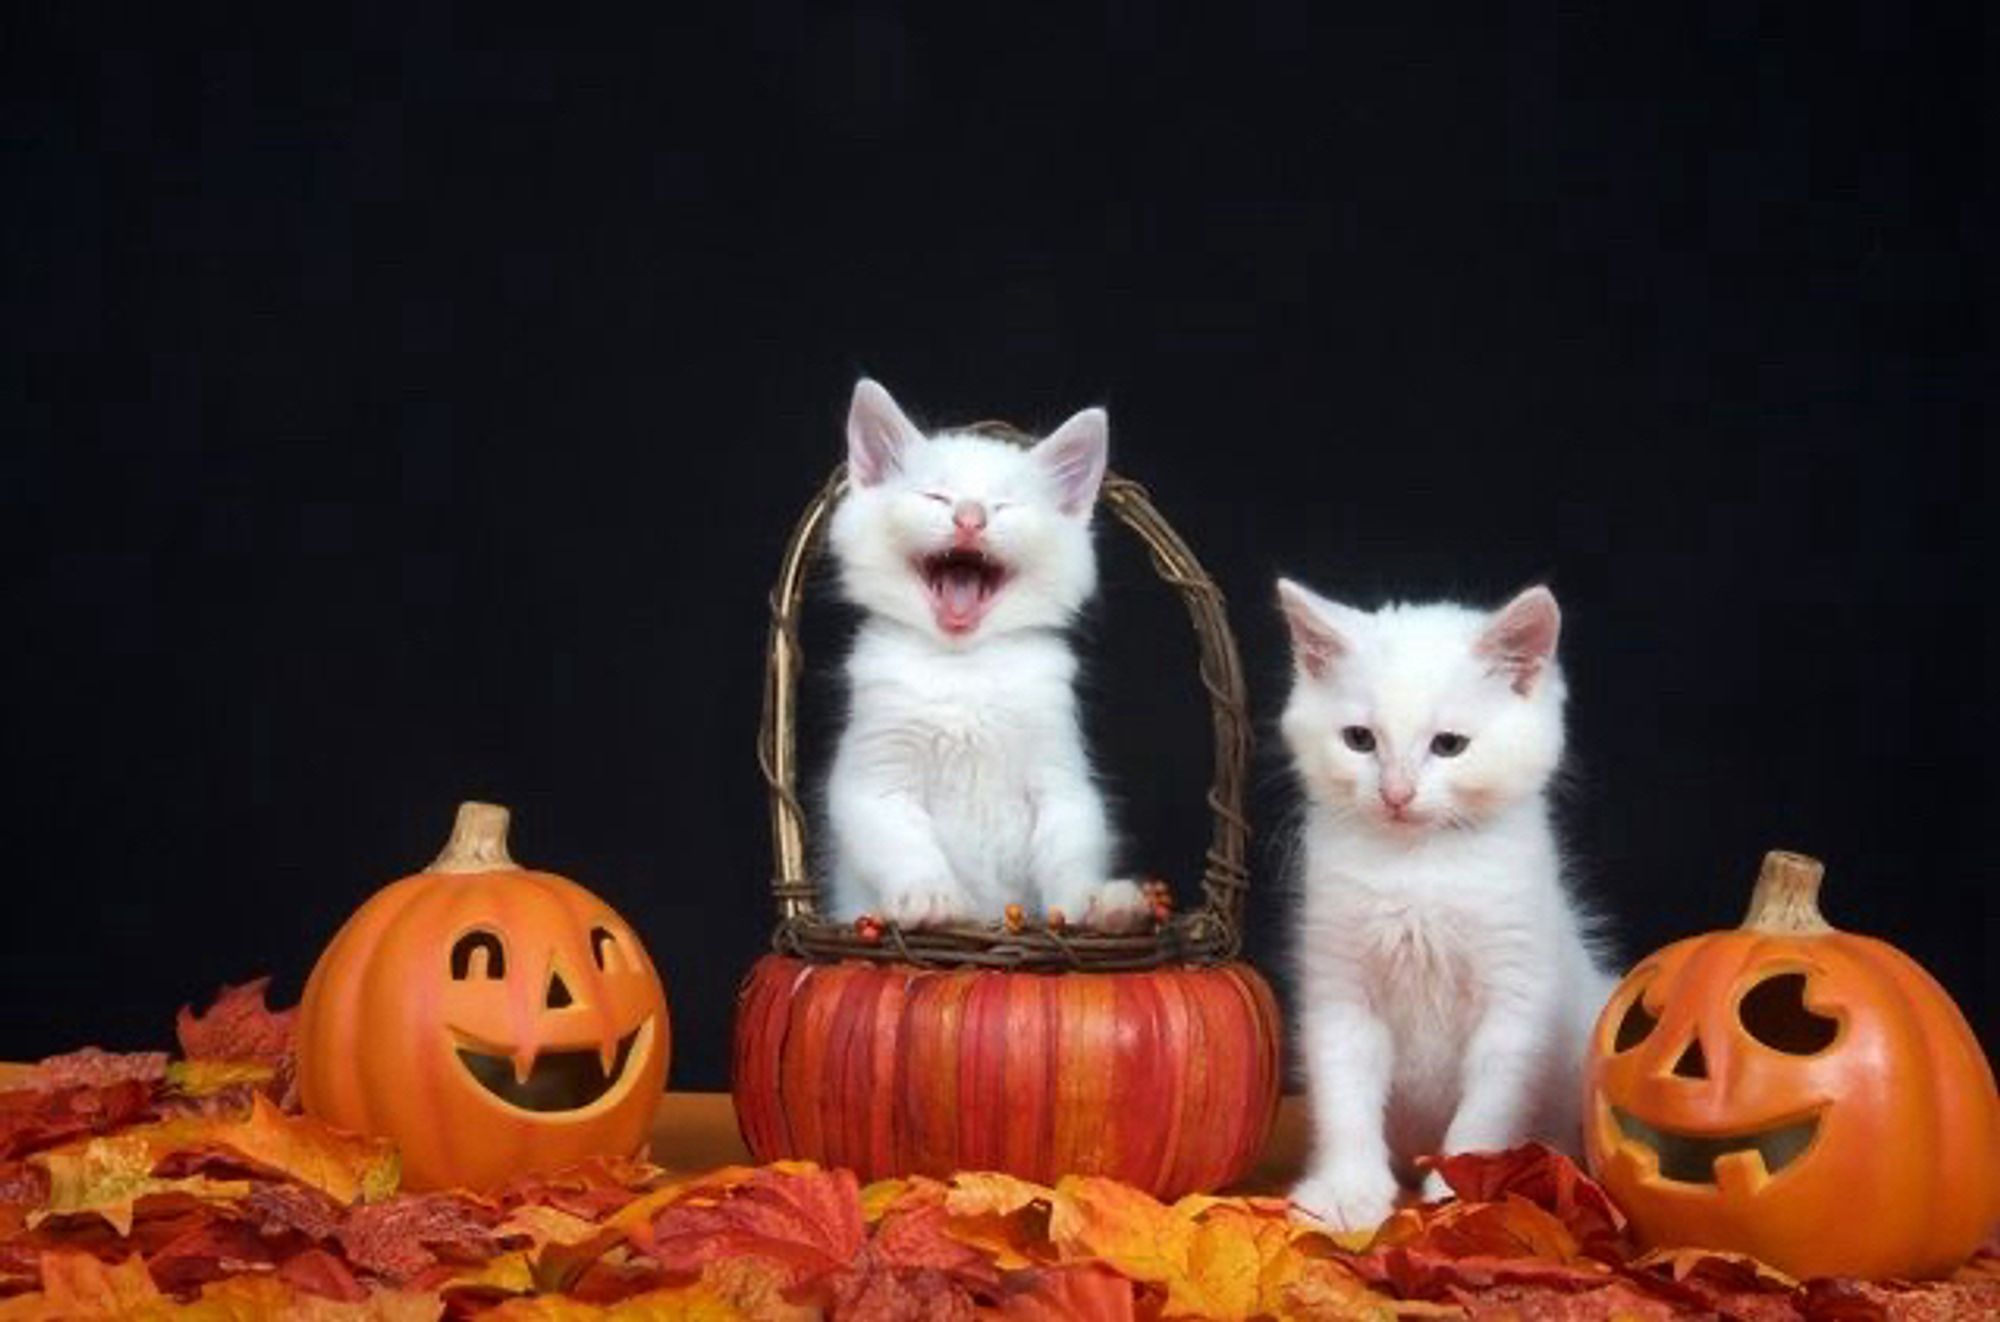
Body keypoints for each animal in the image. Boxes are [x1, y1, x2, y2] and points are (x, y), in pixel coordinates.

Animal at [824, 382, 1152, 932]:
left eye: (1004, 506)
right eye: (936, 497)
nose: (970, 519)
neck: (966, 669)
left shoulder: (1061, 778)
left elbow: (1071, 849)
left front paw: (1094, 902)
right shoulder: (874, 779)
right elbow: (904, 844)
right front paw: (929, 896)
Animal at [1280, 576, 1624, 1224]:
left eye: (1449, 745)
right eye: (1359, 740)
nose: (1396, 794)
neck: (1420, 869)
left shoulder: (1516, 1002)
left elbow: (1488, 1109)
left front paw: (1462, 1190)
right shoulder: (1340, 989)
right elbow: (1345, 1097)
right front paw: (1348, 1191)